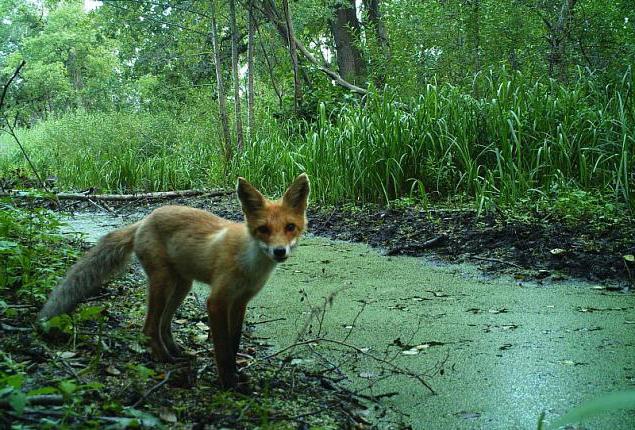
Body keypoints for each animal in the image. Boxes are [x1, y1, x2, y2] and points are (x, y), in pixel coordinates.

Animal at [37, 174, 310, 390]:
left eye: (290, 227)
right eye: (263, 229)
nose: (279, 252)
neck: (249, 263)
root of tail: (145, 219)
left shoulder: (240, 302)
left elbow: (233, 344)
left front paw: (237, 376)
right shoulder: (217, 302)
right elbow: (222, 350)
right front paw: (228, 383)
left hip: (182, 286)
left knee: (164, 324)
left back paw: (176, 353)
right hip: (163, 282)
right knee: (149, 328)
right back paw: (163, 358)